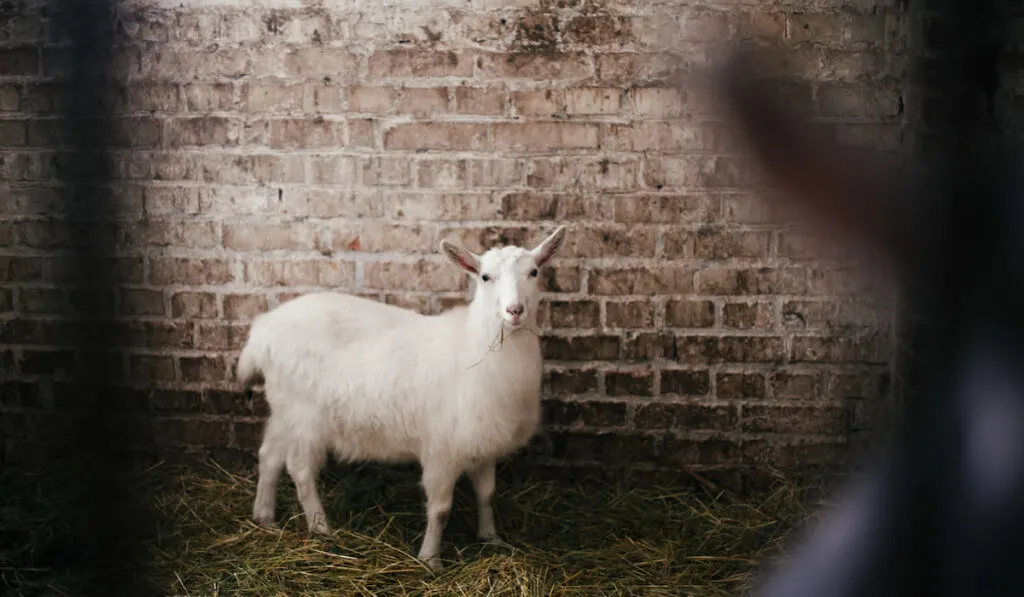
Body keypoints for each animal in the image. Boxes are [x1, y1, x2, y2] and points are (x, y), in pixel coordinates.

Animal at [234, 225, 569, 569]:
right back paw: (321, 529)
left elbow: (486, 494)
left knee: (269, 455)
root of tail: (261, 331)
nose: (515, 311)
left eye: (534, 271)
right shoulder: (441, 448)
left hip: (284, 407)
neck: (473, 345)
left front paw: (491, 539)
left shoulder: (484, 441)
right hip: (305, 415)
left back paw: (265, 517)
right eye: (485, 277)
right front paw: (431, 559)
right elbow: (440, 510)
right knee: (299, 469)